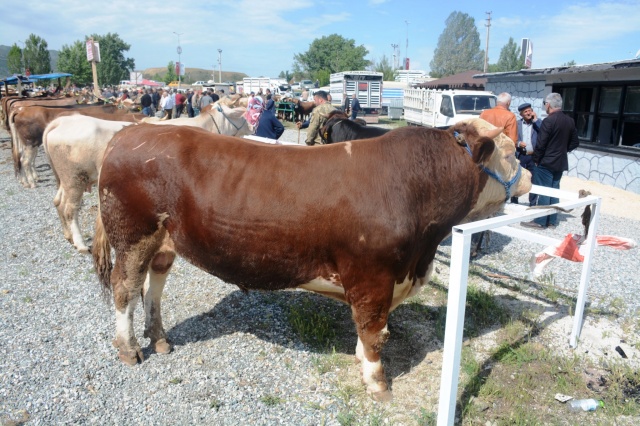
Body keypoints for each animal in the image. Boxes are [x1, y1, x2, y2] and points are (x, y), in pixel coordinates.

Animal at [90, 119, 528, 400]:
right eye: (509, 152)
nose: (526, 177)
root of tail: (132, 130)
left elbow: (366, 329)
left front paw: (360, 361)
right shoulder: (373, 275)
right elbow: (375, 331)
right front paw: (378, 382)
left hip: (163, 240)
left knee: (154, 284)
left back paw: (160, 338)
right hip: (132, 234)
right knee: (125, 288)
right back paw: (129, 348)